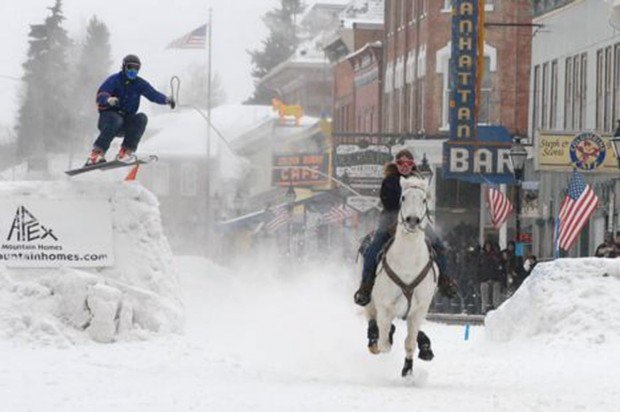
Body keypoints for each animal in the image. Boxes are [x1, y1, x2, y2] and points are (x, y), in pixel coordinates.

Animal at [364, 174, 436, 376]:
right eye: (403, 197)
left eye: (424, 199)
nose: (412, 220)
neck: (408, 262)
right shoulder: (384, 305)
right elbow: (385, 343)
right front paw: (383, 338)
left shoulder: (420, 309)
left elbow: (410, 342)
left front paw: (408, 370)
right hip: (370, 303)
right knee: (374, 323)